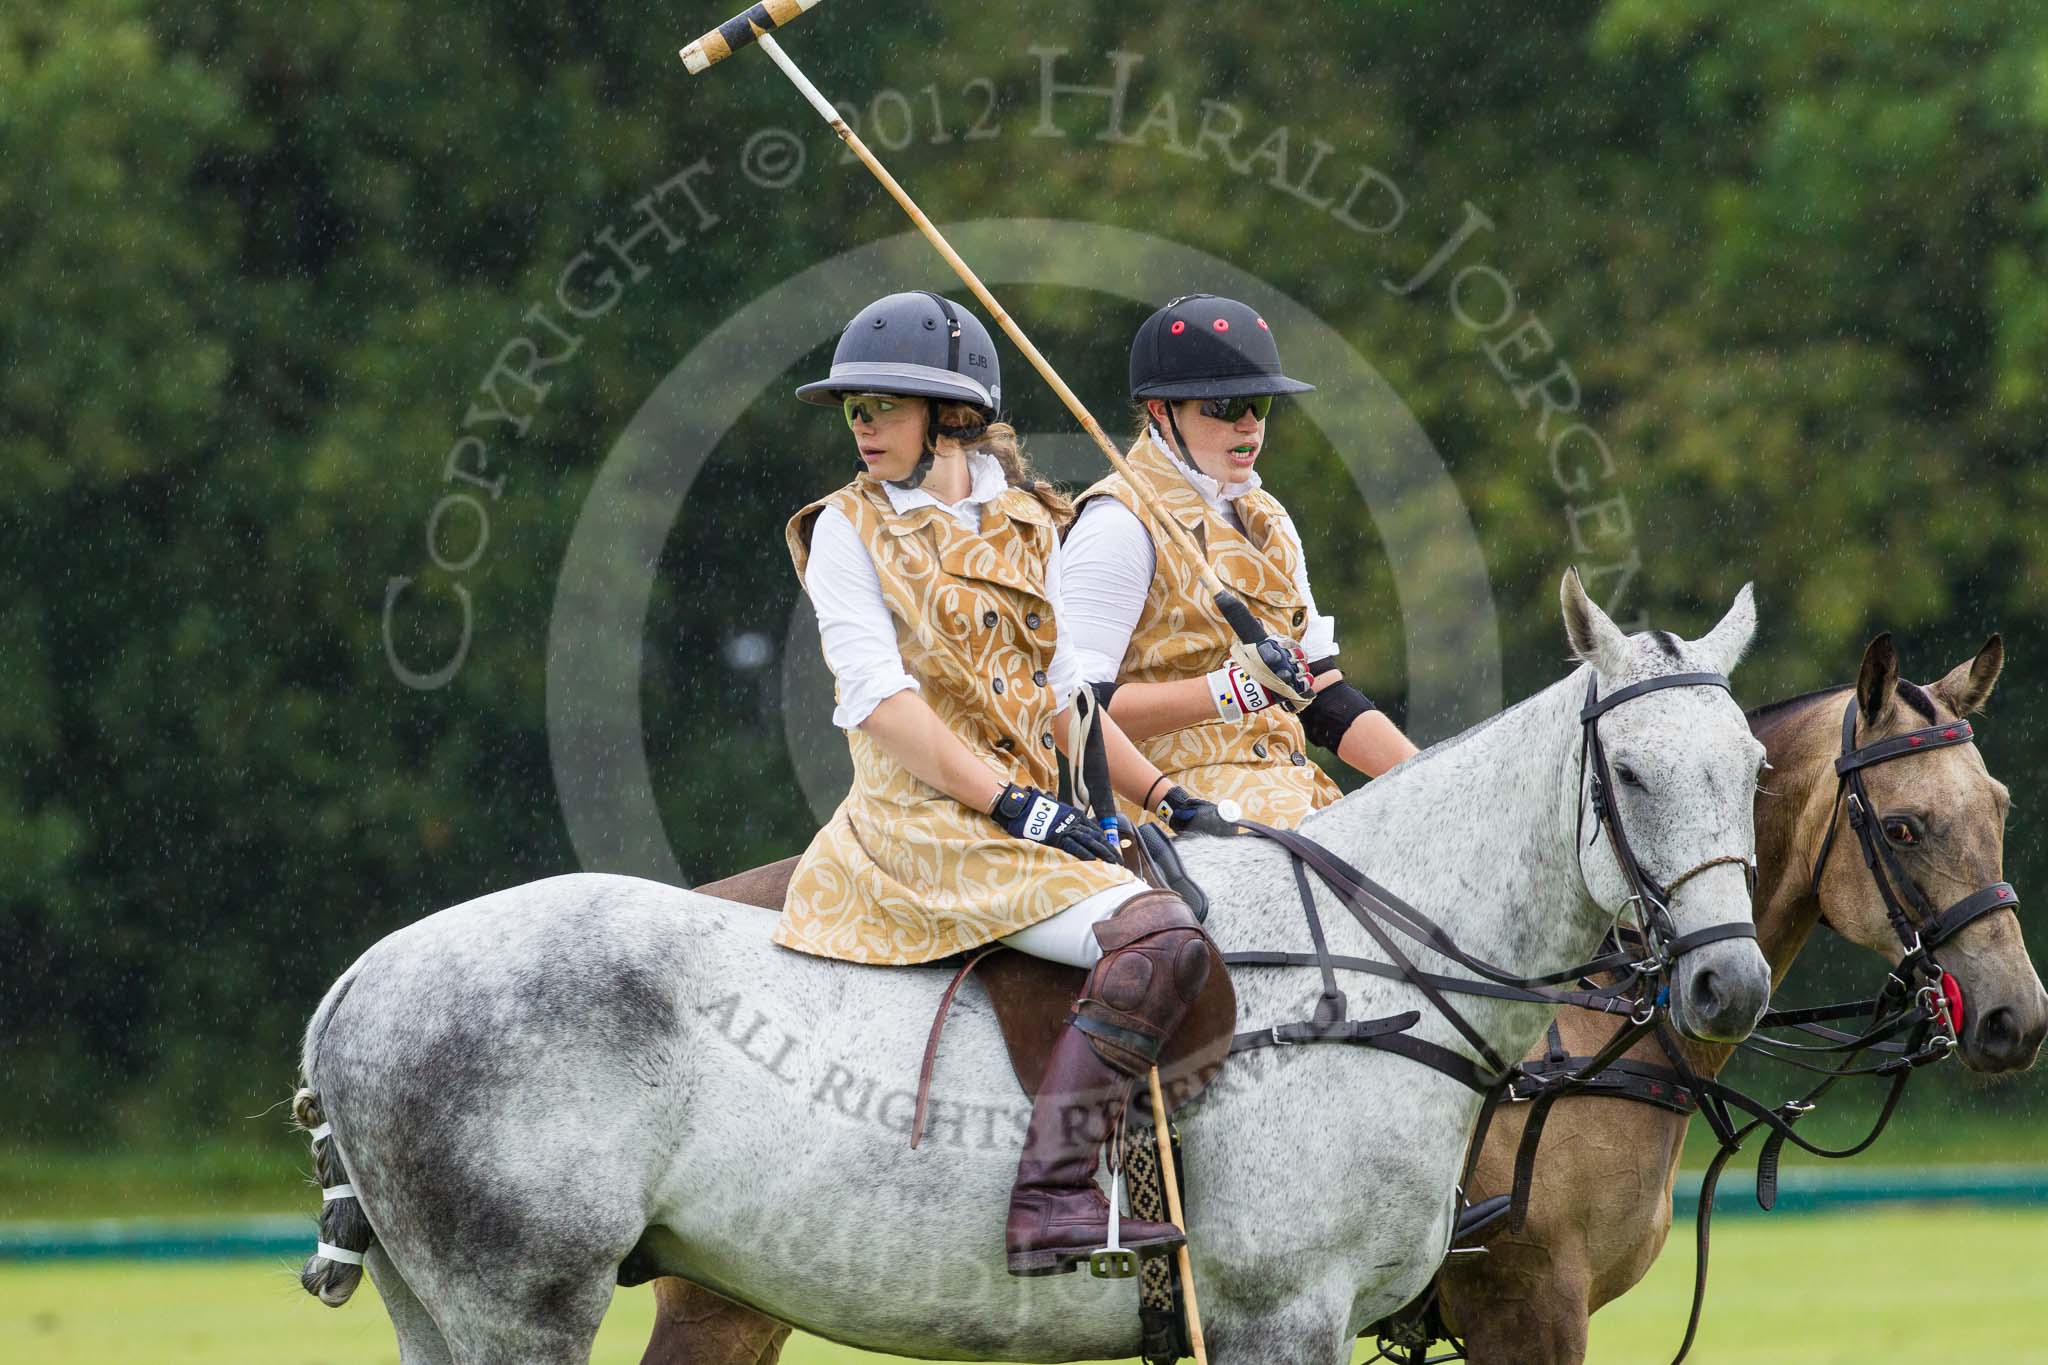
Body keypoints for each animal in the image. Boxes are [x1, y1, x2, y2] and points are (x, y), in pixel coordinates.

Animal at [292, 581, 1777, 1365]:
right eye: (1630, 771)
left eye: (1752, 768)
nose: (1729, 988)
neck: (1377, 976)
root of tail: (355, 982)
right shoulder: (1286, 1313)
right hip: (526, 1298)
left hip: (440, 1304)